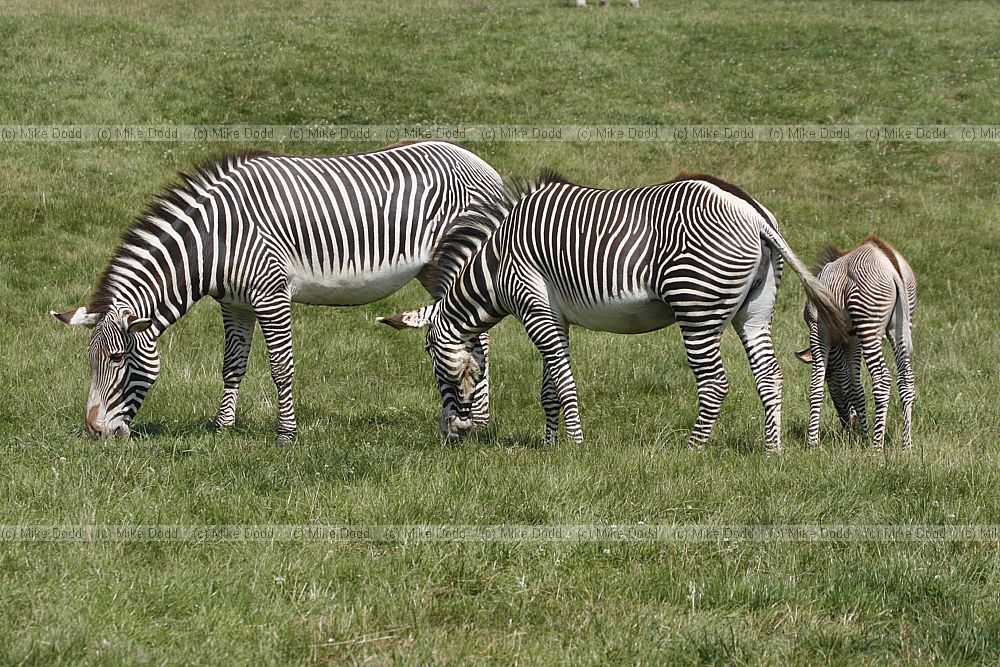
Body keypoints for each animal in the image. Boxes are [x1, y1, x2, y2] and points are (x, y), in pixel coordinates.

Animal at [51, 140, 507, 442]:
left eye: (118, 359)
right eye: (90, 361)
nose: (95, 430)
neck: (215, 240)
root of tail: (479, 161)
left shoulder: (271, 295)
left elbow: (280, 367)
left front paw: (286, 435)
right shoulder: (234, 304)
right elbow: (232, 366)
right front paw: (223, 429)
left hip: (456, 262)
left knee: (476, 335)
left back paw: (475, 421)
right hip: (433, 271)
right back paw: (460, 419)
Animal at [379, 172, 847, 451]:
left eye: (430, 358)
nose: (451, 436)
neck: (495, 266)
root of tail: (755, 214)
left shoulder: (534, 307)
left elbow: (563, 383)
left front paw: (576, 446)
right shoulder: (554, 316)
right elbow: (549, 387)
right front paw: (550, 444)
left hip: (696, 304)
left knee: (714, 382)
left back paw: (693, 449)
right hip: (754, 309)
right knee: (770, 377)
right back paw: (772, 450)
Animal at [794, 237, 916, 450]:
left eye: (830, 381)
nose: (847, 424)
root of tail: (889, 261)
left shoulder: (820, 330)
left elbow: (819, 385)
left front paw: (812, 443)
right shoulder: (853, 340)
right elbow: (856, 386)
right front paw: (863, 435)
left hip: (868, 322)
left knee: (882, 380)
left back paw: (876, 446)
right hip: (900, 325)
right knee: (906, 380)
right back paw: (906, 446)